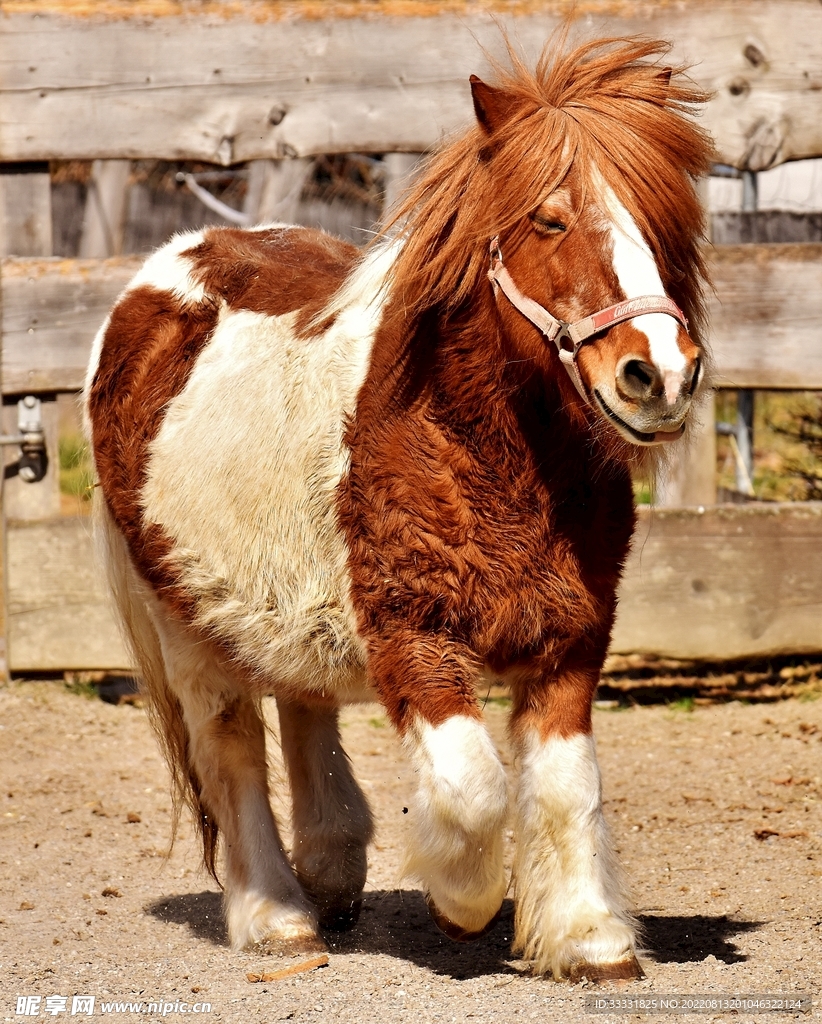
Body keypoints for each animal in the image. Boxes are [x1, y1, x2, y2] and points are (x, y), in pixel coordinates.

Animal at [84, 36, 712, 981]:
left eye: (664, 223)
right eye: (550, 220)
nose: (661, 375)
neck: (486, 455)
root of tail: (169, 267)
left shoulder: (575, 638)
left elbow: (569, 786)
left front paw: (589, 937)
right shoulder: (412, 641)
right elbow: (476, 787)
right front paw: (465, 900)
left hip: (278, 598)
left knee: (302, 706)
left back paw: (331, 874)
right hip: (185, 621)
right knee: (230, 746)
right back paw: (277, 917)